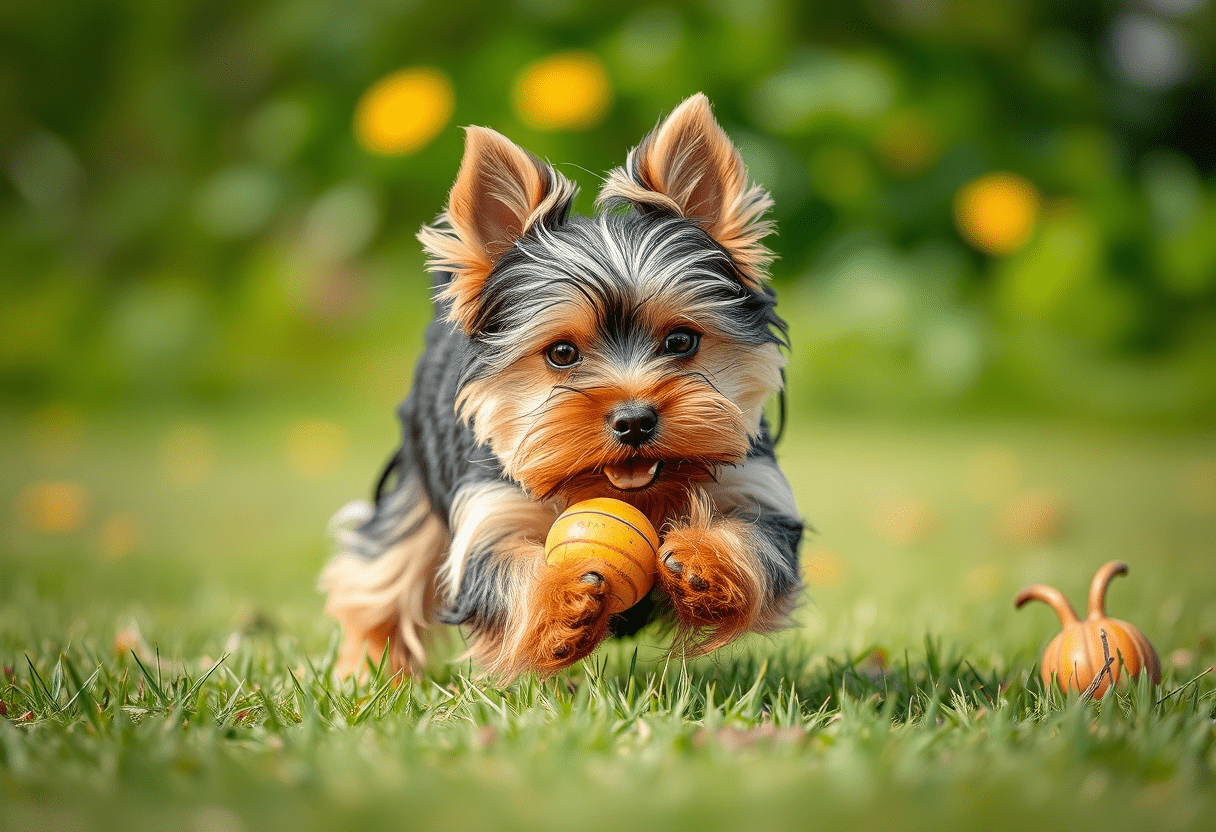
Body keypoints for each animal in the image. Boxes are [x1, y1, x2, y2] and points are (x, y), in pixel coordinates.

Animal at [318, 94, 802, 681]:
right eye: (562, 354)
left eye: (681, 341)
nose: (634, 421)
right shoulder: (492, 508)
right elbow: (505, 576)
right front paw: (564, 607)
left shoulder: (755, 484)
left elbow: (760, 544)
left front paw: (704, 563)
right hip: (417, 474)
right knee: (381, 573)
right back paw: (367, 673)